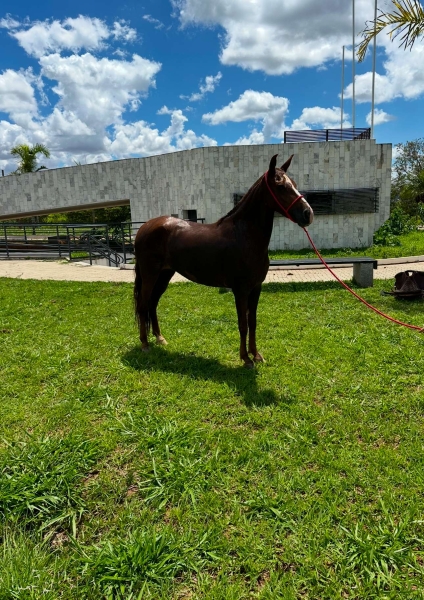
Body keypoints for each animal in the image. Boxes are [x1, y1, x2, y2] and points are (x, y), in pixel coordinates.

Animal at [134, 155, 314, 368]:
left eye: (294, 184)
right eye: (280, 186)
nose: (308, 214)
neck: (244, 235)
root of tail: (144, 227)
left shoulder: (256, 288)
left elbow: (252, 322)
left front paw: (256, 355)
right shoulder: (240, 290)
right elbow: (243, 324)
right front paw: (246, 358)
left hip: (164, 274)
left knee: (153, 303)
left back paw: (160, 338)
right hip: (150, 274)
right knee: (144, 304)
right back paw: (145, 344)